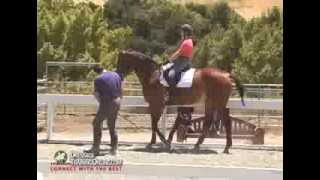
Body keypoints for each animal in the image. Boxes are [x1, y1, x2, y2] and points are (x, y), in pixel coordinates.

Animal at [117, 49, 245, 153]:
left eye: (121, 61)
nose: (118, 75)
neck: (152, 75)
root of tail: (226, 74)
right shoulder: (156, 105)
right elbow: (156, 124)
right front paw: (154, 142)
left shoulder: (157, 104)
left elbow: (155, 124)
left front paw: (164, 142)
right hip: (210, 103)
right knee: (208, 122)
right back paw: (198, 145)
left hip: (219, 103)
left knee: (226, 121)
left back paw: (226, 147)